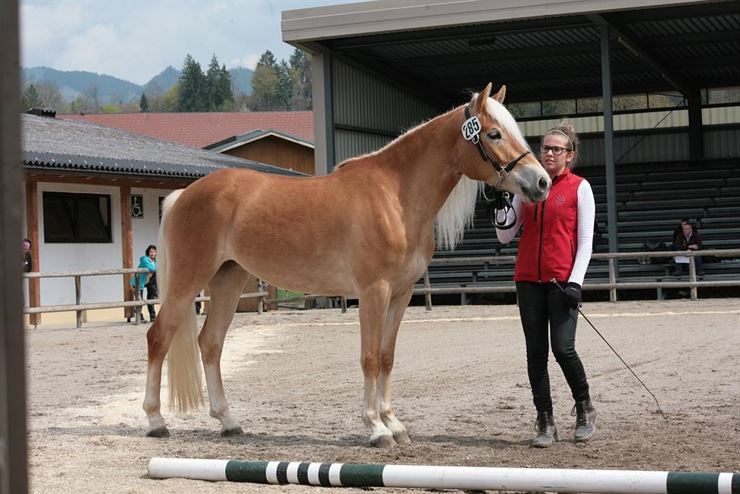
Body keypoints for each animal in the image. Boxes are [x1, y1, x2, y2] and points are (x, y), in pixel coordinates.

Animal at [143, 83, 551, 448]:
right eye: (495, 133)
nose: (542, 182)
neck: (395, 196)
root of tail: (184, 194)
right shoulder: (373, 292)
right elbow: (369, 358)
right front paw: (376, 429)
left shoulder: (401, 293)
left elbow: (386, 357)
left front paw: (394, 423)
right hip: (187, 282)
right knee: (159, 337)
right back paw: (155, 421)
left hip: (229, 279)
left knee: (210, 343)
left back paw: (228, 421)